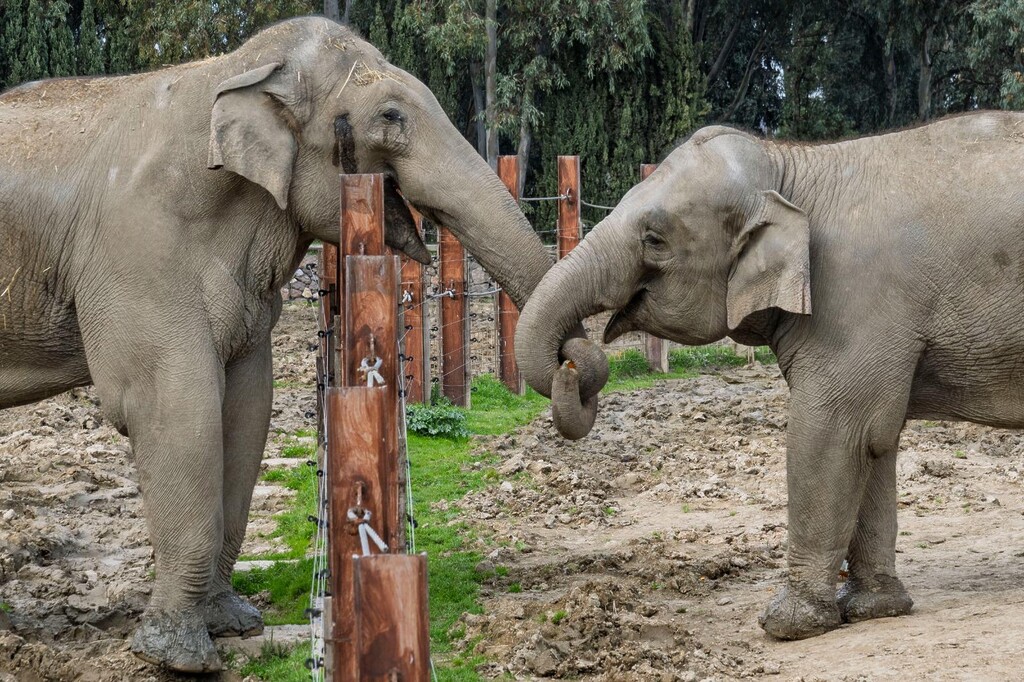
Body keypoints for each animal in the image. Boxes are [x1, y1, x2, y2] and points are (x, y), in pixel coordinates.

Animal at [0, 17, 602, 675]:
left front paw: (235, 624)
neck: (232, 72)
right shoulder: (138, 254)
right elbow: (172, 408)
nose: (576, 369)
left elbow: (246, 409)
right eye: (390, 115)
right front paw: (180, 658)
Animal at [512, 110, 1024, 638]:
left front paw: (786, 625)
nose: (571, 364)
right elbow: (876, 442)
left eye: (654, 240)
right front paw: (874, 609)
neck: (792, 165)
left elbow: (835, 432)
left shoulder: (856, 302)